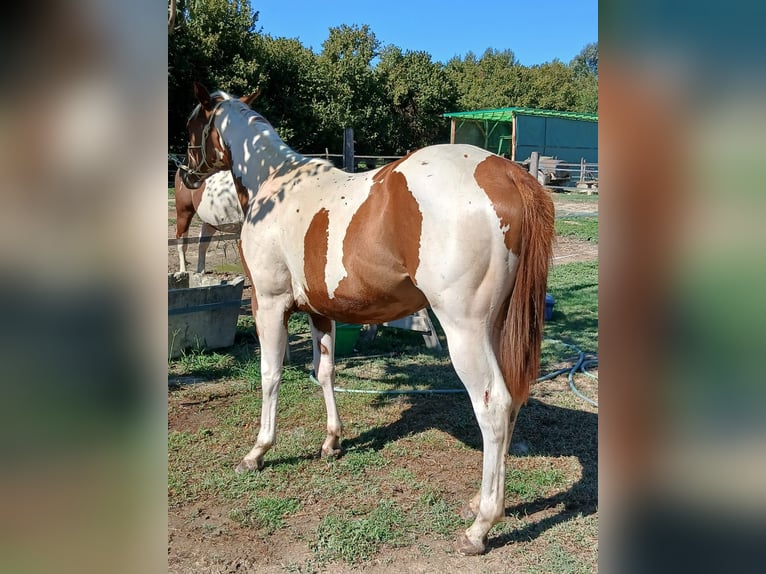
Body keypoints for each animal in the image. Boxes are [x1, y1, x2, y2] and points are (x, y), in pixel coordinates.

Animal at [179, 82, 555, 555]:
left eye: (192, 122)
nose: (185, 172)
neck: (275, 183)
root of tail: (505, 173)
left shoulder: (269, 303)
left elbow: (270, 375)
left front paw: (258, 452)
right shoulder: (320, 311)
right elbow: (324, 371)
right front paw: (331, 442)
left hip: (466, 330)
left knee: (494, 405)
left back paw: (480, 526)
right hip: (500, 327)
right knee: (512, 404)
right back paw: (479, 503)